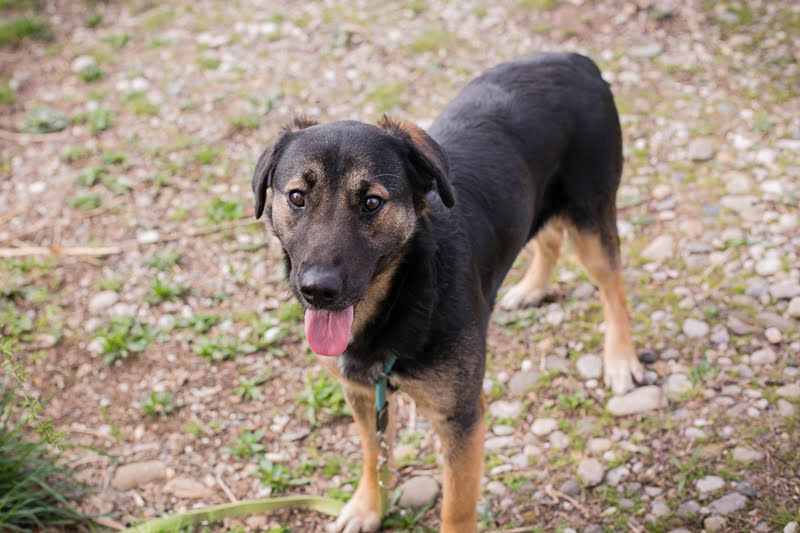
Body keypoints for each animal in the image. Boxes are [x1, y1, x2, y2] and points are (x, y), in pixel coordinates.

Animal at [252, 52, 643, 532]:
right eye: (297, 197)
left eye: (371, 202)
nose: (317, 291)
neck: (403, 294)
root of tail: (574, 58)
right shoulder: (363, 392)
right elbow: (373, 456)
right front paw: (367, 507)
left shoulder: (461, 417)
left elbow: (456, 505)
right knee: (547, 236)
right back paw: (531, 289)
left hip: (590, 216)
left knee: (613, 285)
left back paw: (621, 359)